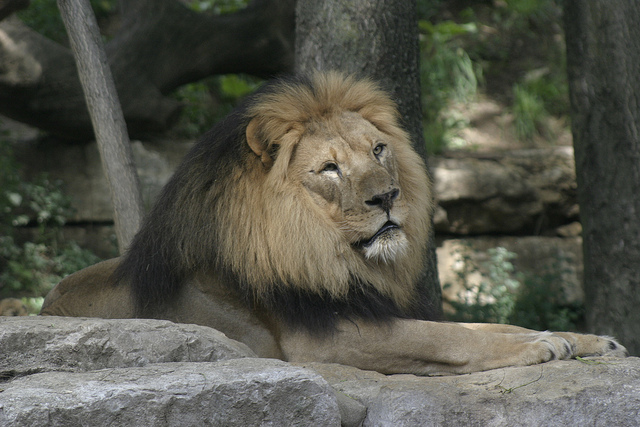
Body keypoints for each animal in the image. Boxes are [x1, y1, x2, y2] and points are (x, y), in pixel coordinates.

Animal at [42, 72, 628, 376]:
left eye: (378, 150)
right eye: (329, 168)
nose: (387, 196)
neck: (330, 252)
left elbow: (482, 326)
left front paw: (588, 339)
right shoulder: (322, 341)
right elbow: (448, 337)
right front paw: (542, 346)